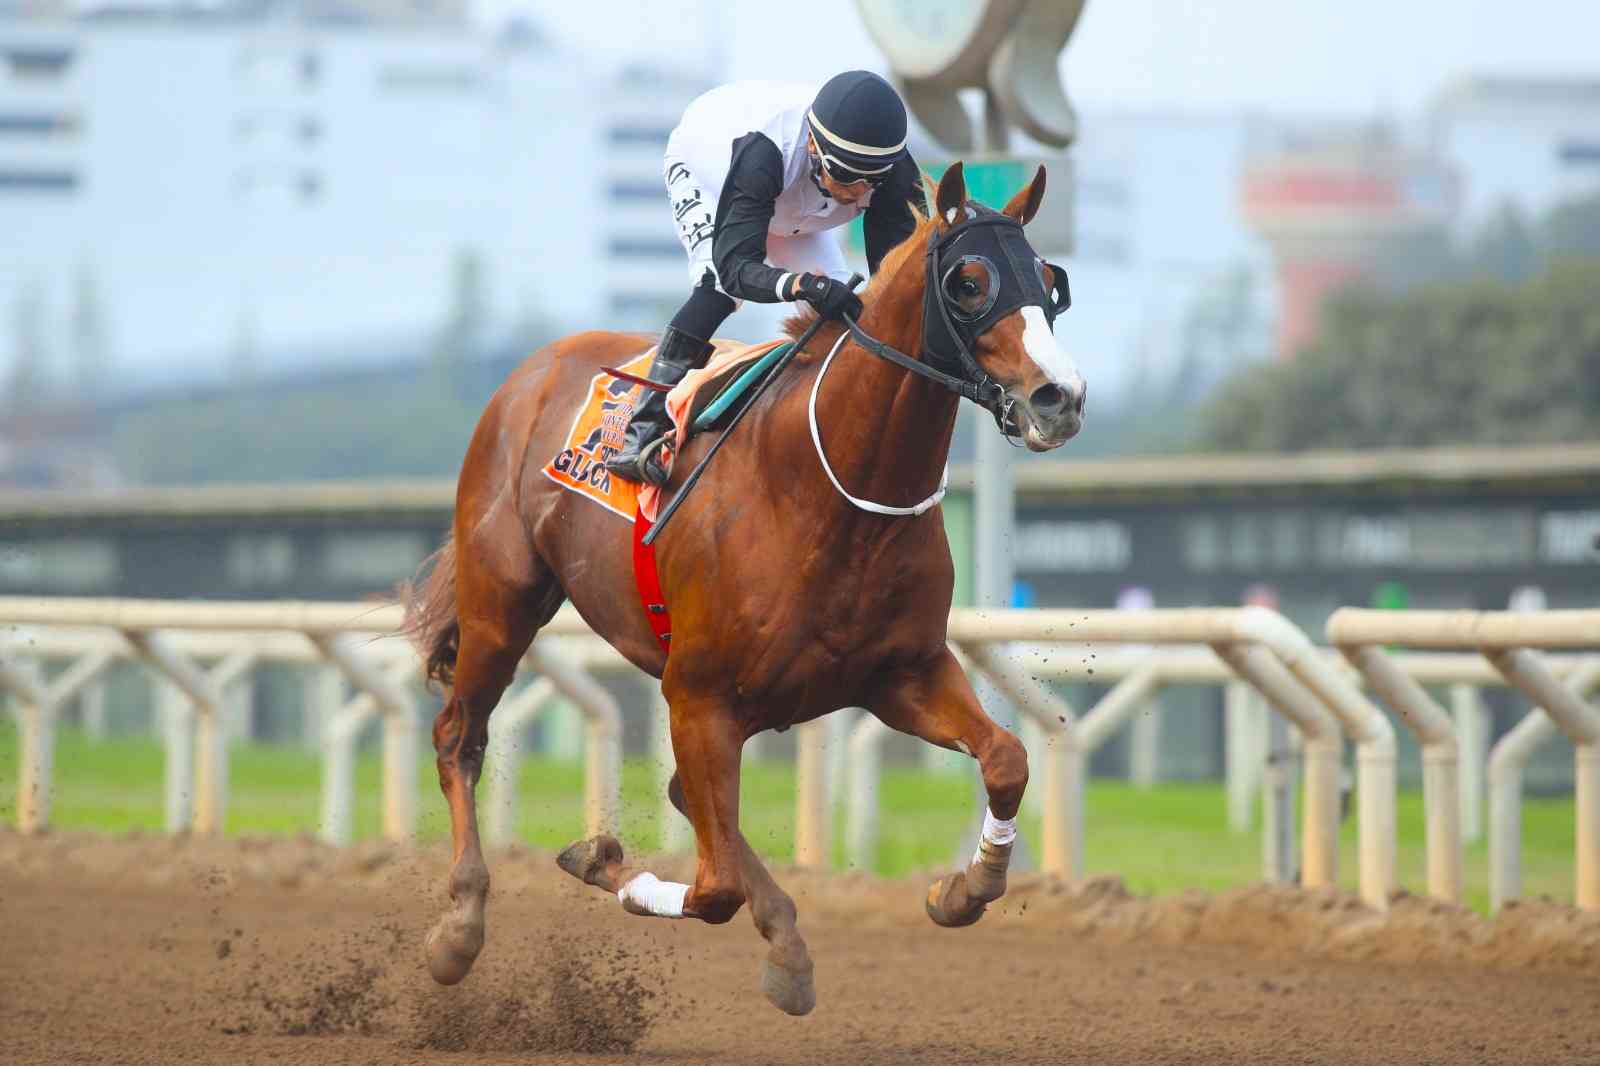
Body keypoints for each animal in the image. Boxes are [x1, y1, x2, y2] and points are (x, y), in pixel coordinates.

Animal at [401, 162, 1086, 1016]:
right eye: (969, 282)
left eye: (1051, 282)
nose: (1060, 398)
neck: (829, 490)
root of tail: (530, 372)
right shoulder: (697, 694)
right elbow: (715, 884)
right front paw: (600, 860)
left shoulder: (904, 674)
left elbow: (1006, 759)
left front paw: (964, 889)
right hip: (503, 606)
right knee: (459, 737)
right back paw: (460, 925)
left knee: (684, 798)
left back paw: (788, 944)